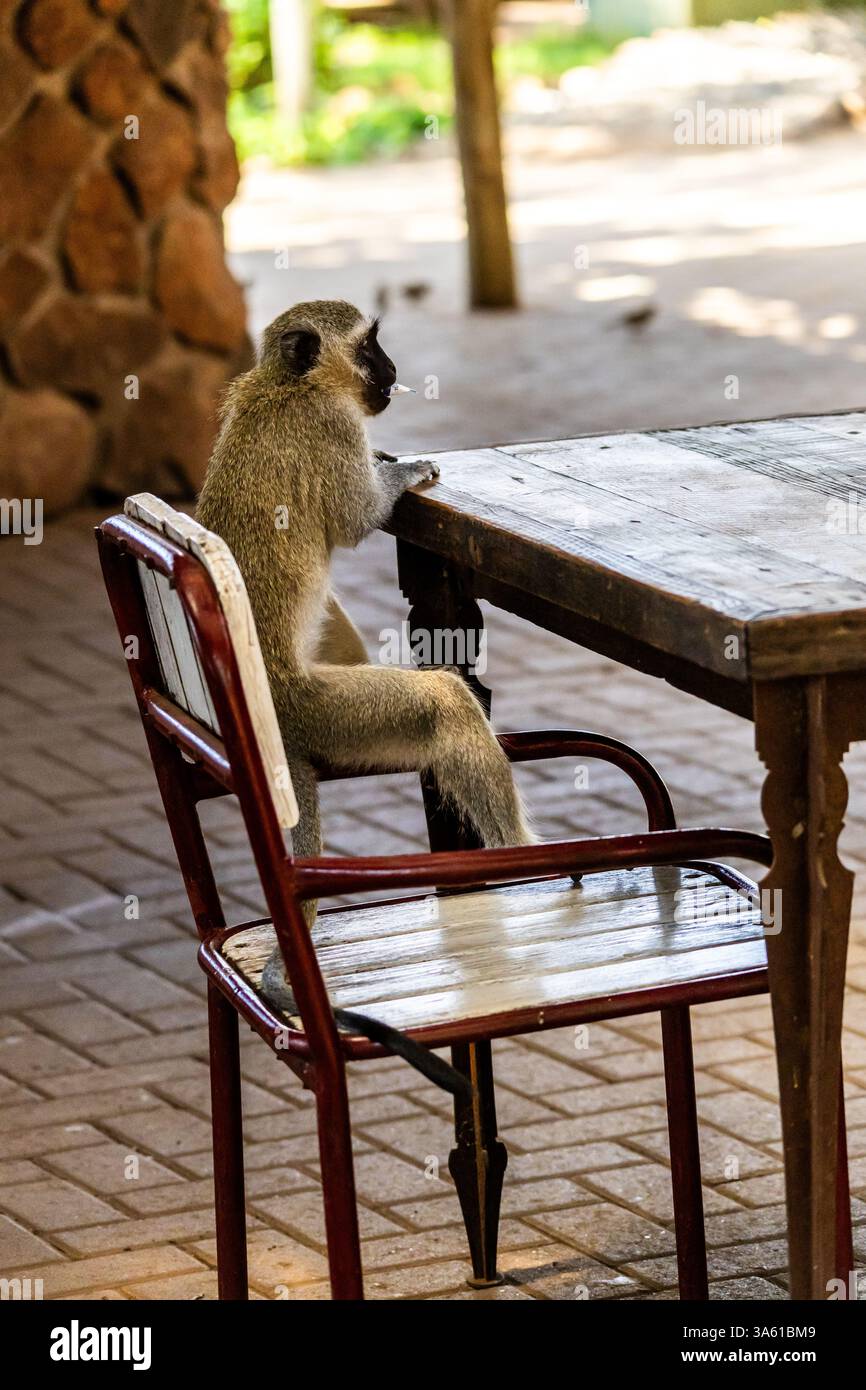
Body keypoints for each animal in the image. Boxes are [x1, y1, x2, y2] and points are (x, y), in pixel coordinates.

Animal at [197, 300, 533, 1091]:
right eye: (370, 344)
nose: (394, 370)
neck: (284, 384)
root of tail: (272, 718)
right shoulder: (331, 428)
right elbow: (355, 518)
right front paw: (403, 470)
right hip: (327, 706)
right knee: (443, 701)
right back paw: (523, 859)